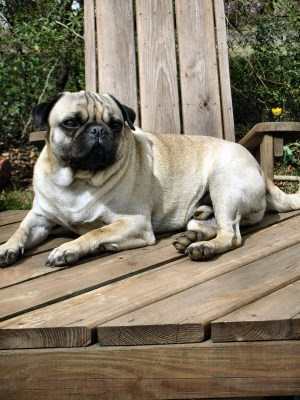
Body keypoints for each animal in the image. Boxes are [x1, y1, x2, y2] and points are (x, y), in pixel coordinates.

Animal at [0, 90, 300, 266]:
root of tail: (259, 168)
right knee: (210, 223)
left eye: (115, 124)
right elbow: (21, 230)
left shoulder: (134, 223)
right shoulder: (39, 217)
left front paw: (68, 249)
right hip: (204, 208)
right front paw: (7, 248)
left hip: (224, 187)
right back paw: (190, 238)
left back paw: (203, 247)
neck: (79, 179)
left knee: (231, 235)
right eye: (71, 123)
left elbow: (97, 231)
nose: (98, 130)